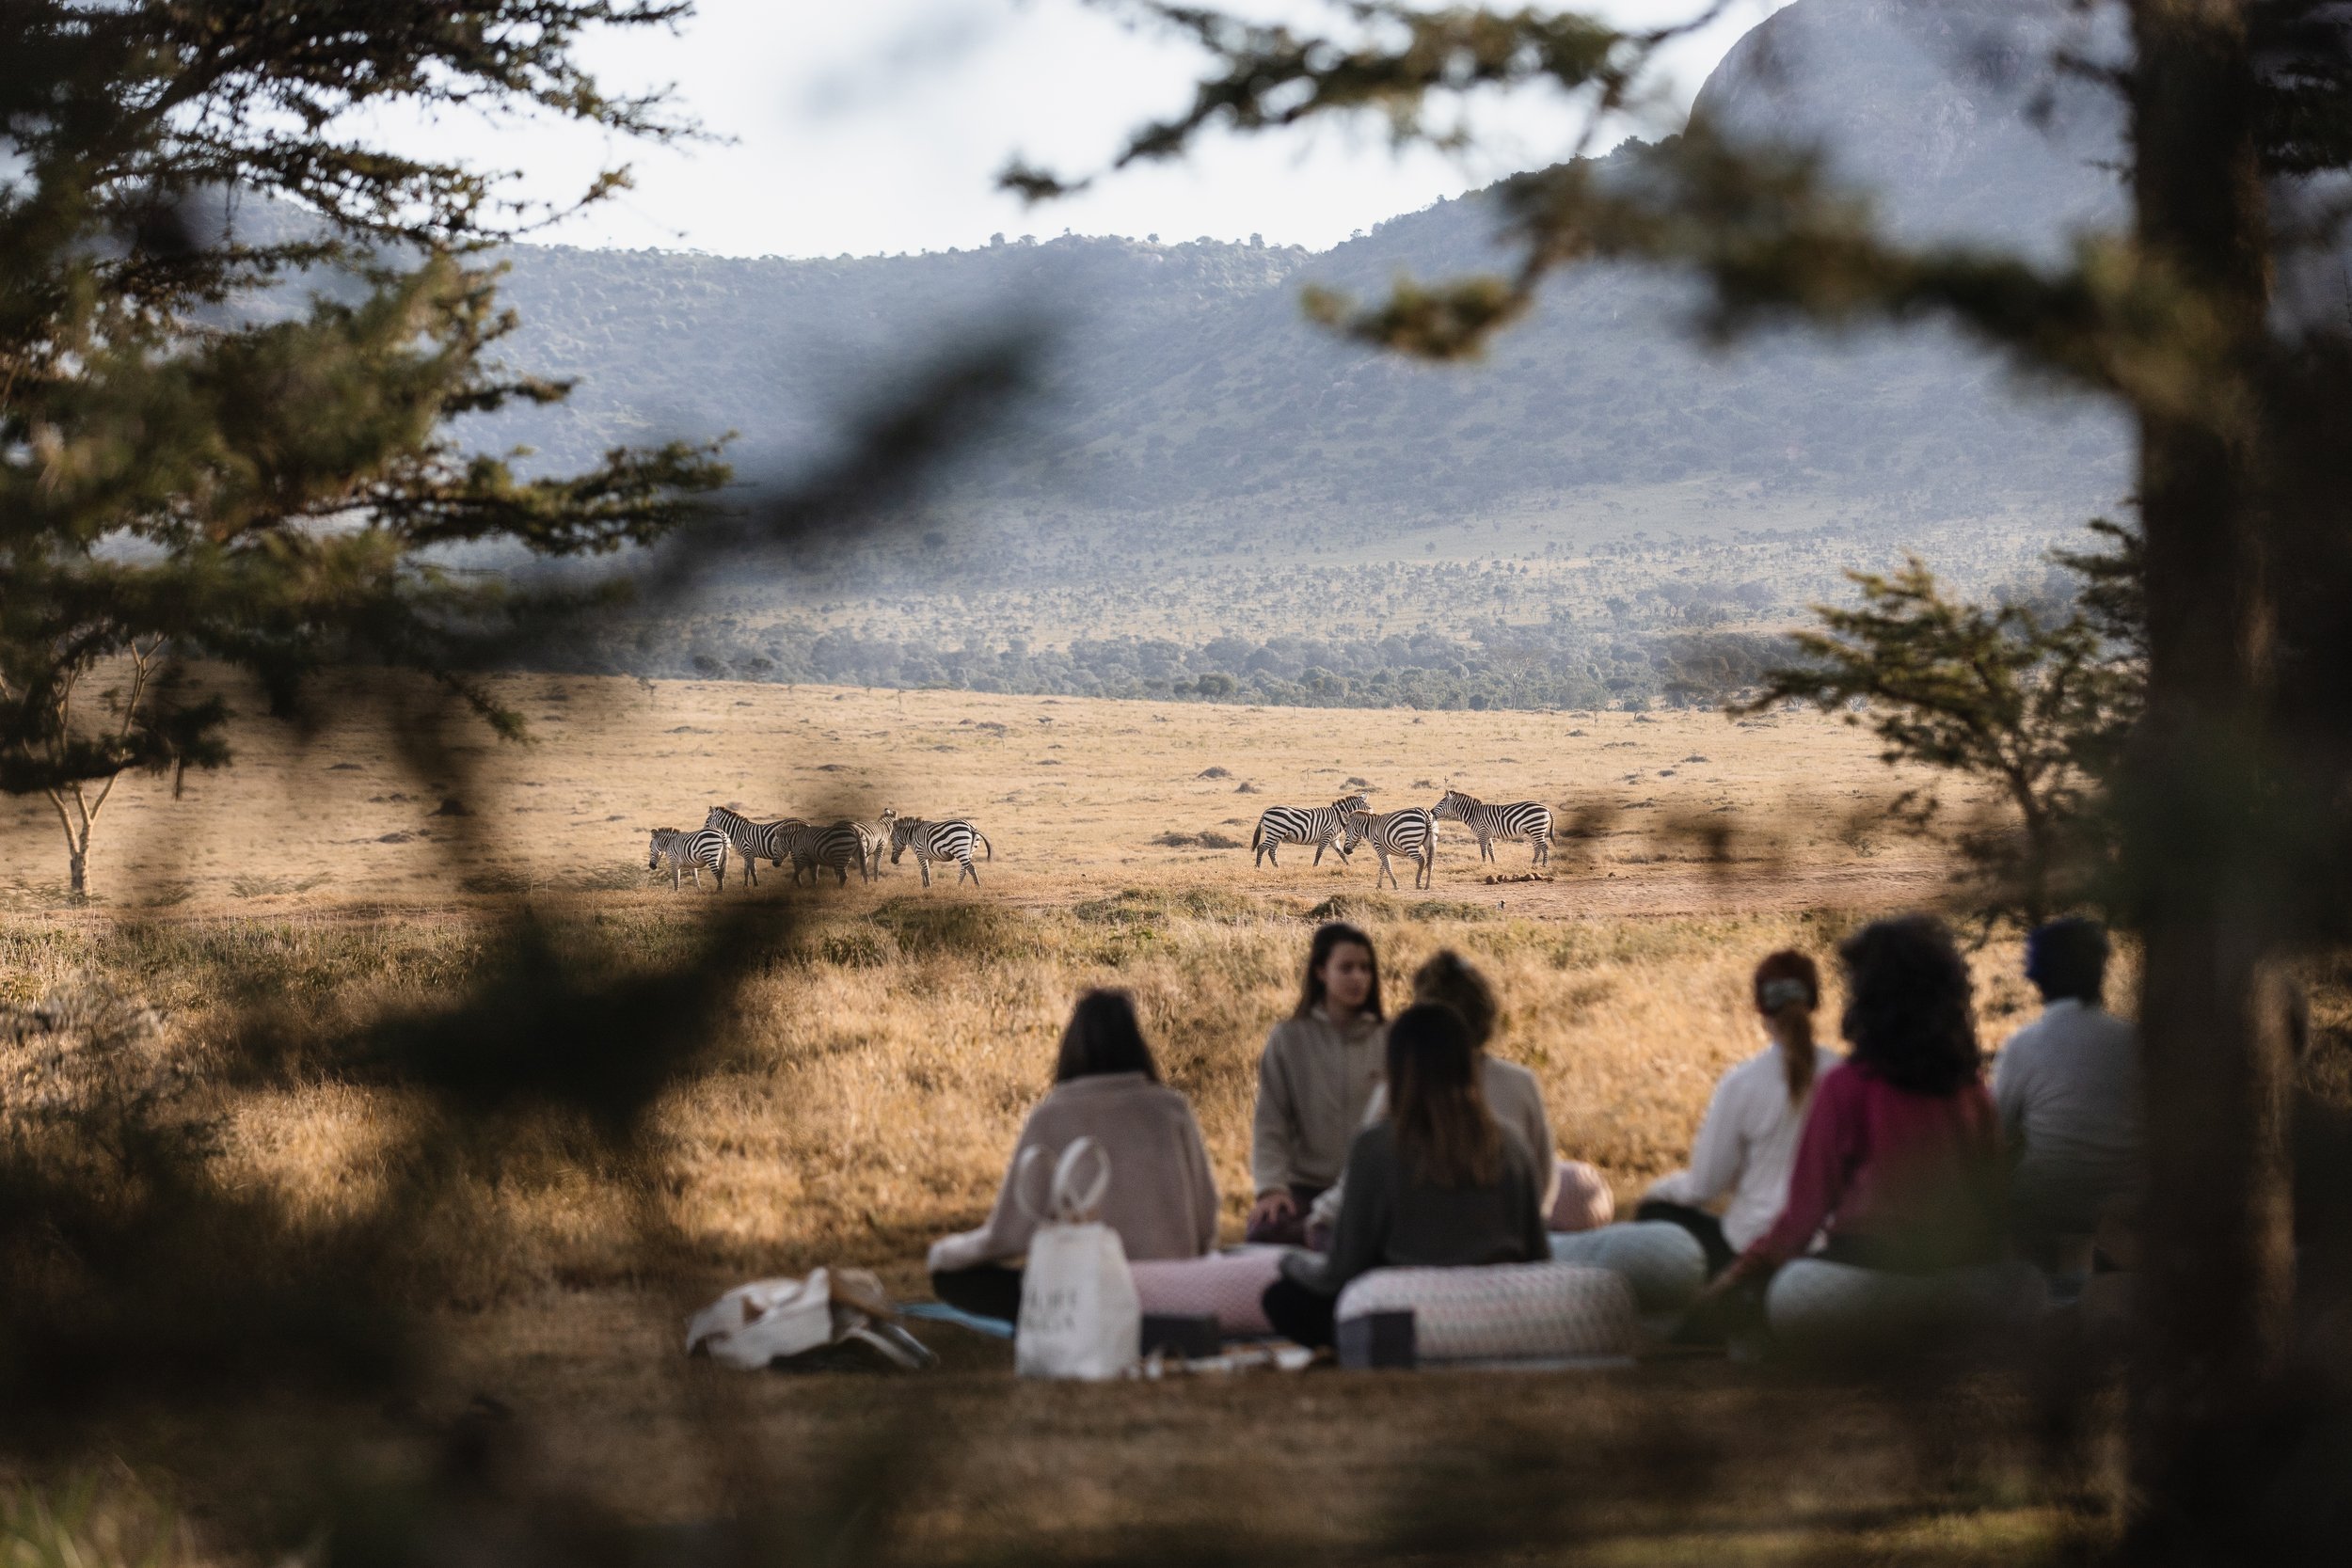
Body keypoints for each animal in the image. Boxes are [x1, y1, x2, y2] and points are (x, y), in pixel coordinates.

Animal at [1249, 793, 1371, 869]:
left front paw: (1349, 866)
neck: (1338, 816)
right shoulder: (1326, 835)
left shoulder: (1334, 839)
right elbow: (1319, 852)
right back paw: (1258, 867)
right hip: (1275, 832)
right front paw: (1314, 867)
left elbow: (1341, 854)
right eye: (1369, 808)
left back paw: (1277, 868)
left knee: (1271, 851)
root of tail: (1267, 810)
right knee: (1261, 847)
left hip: (1276, 834)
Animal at [1431, 788, 1554, 867]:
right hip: (1533, 831)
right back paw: (1533, 864)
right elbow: (1491, 850)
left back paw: (1544, 865)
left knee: (1545, 847)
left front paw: (1483, 865)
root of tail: (1546, 808)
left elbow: (1483, 851)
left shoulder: (1481, 833)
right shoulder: (1487, 834)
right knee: (1538, 848)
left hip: (1536, 829)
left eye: (1441, 804)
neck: (1473, 814)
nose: (1431, 812)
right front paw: (1493, 864)